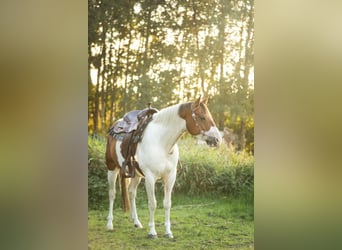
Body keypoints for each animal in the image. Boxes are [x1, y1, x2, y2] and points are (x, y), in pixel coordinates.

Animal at [105, 96, 222, 238]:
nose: (217, 140)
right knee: (112, 194)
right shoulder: (150, 178)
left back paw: (137, 222)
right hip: (112, 169)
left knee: (131, 193)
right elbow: (153, 204)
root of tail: (115, 125)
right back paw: (109, 224)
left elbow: (167, 204)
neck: (162, 143)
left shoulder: (170, 177)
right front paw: (152, 232)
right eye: (202, 117)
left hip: (136, 175)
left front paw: (168, 232)